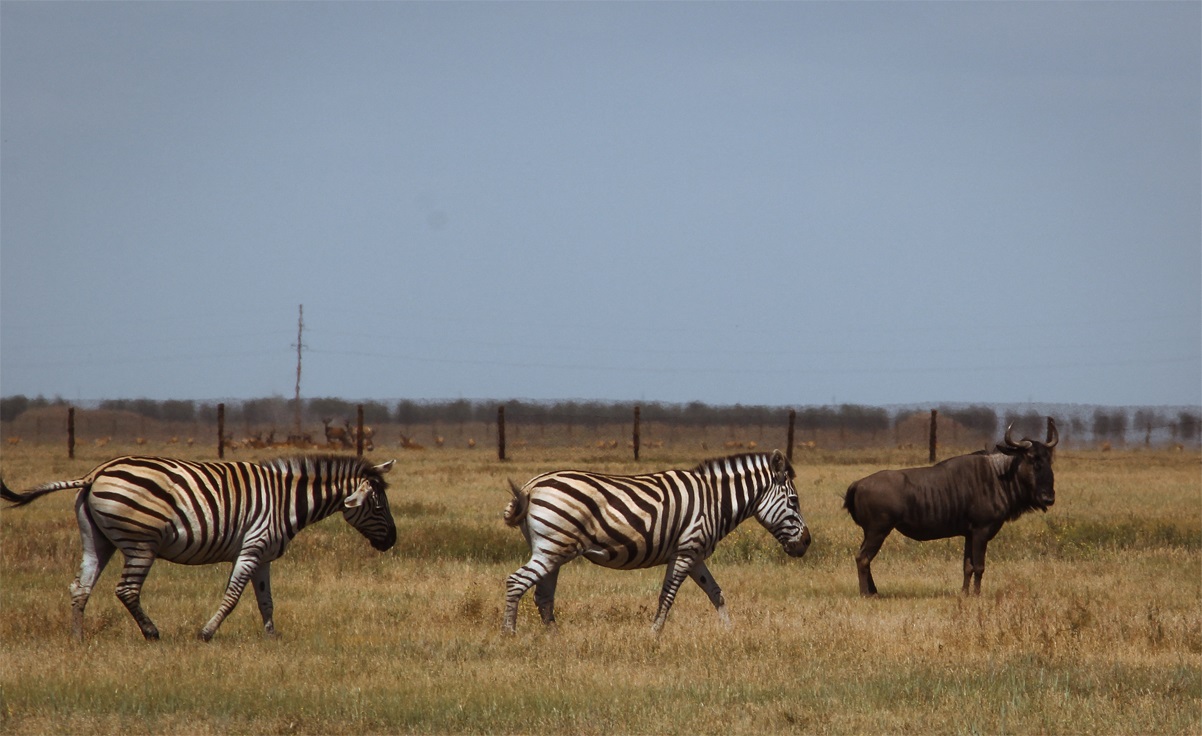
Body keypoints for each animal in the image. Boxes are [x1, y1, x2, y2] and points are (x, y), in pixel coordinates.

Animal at [1, 454, 396, 642]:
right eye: (378, 505)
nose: (392, 540)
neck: (287, 500)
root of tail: (94, 474)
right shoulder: (252, 547)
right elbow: (233, 596)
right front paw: (206, 633)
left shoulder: (264, 555)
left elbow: (266, 601)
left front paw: (272, 638)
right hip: (140, 543)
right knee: (126, 590)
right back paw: (152, 633)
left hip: (98, 540)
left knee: (80, 587)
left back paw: (77, 639)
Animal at [502, 450, 811, 634]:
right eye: (794, 501)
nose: (807, 543)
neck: (715, 501)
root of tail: (531, 485)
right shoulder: (686, 551)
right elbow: (668, 595)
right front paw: (654, 634)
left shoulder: (694, 554)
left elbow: (716, 593)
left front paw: (729, 632)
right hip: (552, 548)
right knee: (517, 582)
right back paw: (509, 634)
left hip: (552, 549)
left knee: (543, 595)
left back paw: (554, 637)